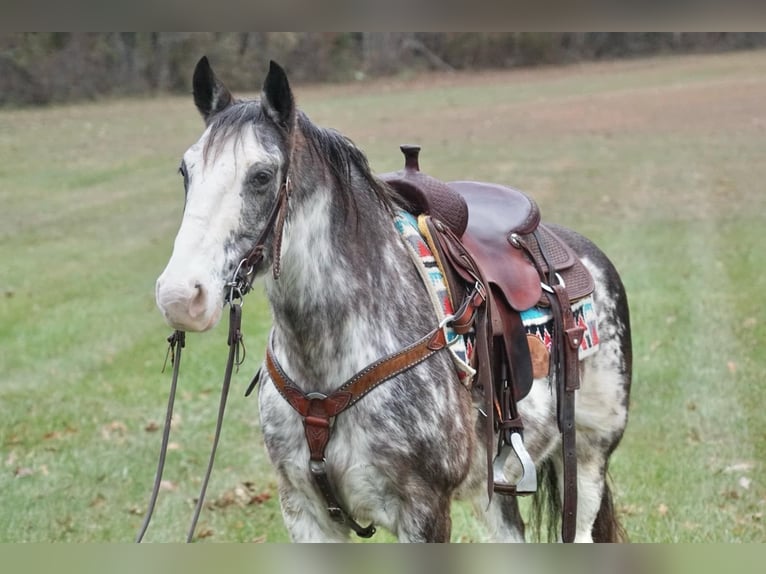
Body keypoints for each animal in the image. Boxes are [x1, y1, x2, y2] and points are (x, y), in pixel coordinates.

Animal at [156, 58, 636, 544]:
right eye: (185, 171)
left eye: (261, 175)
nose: (180, 296)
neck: (326, 364)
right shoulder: (303, 510)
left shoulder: (424, 511)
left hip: (590, 454)